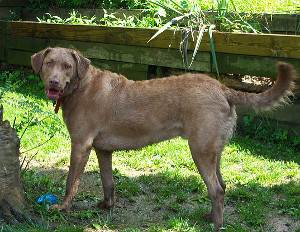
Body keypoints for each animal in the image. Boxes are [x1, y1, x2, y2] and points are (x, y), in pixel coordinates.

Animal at [31, 47, 296, 230]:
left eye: (67, 66)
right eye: (49, 63)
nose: (54, 81)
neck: (80, 86)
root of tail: (223, 88)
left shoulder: (80, 145)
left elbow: (71, 182)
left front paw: (62, 208)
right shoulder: (102, 149)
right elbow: (108, 182)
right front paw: (107, 206)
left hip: (199, 150)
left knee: (216, 189)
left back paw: (216, 225)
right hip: (214, 150)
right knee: (222, 185)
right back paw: (211, 216)